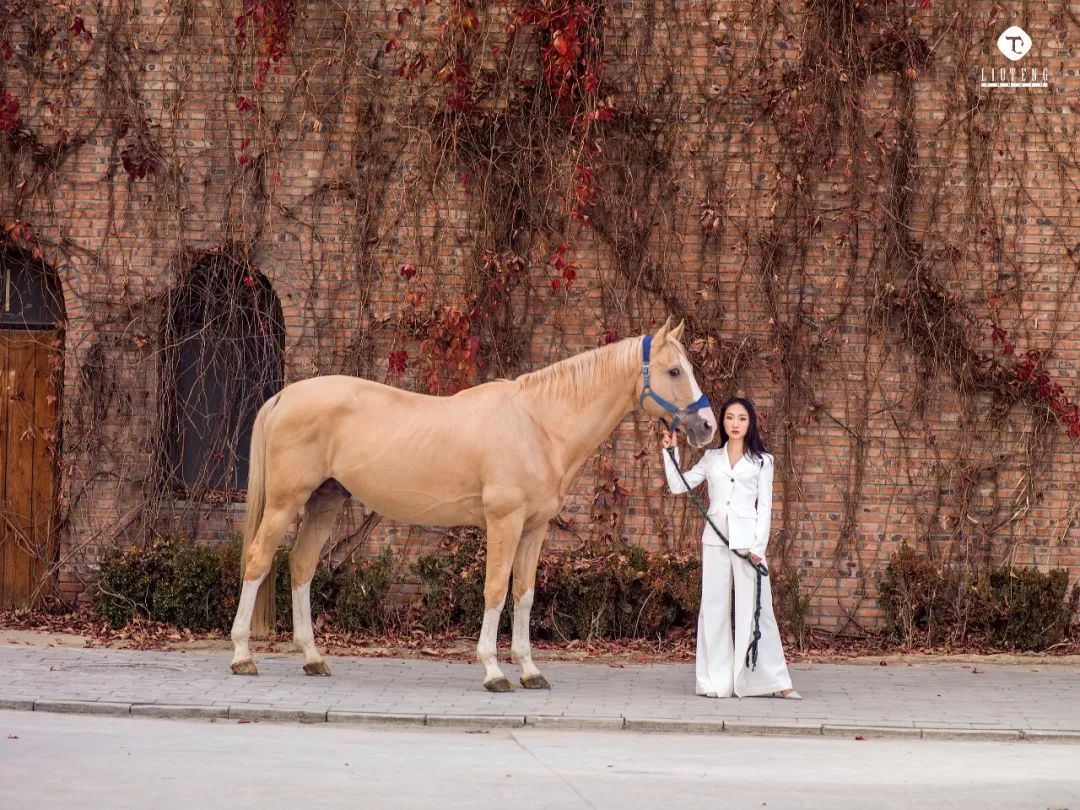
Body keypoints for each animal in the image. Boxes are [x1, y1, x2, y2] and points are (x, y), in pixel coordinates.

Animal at [230, 317, 717, 691]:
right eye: (675, 371)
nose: (708, 425)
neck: (539, 425)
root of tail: (283, 397)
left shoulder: (534, 528)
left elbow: (524, 594)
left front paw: (529, 670)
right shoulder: (505, 522)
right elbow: (496, 589)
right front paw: (493, 671)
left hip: (324, 502)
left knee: (301, 565)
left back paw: (312, 658)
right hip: (285, 503)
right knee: (257, 561)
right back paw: (241, 656)